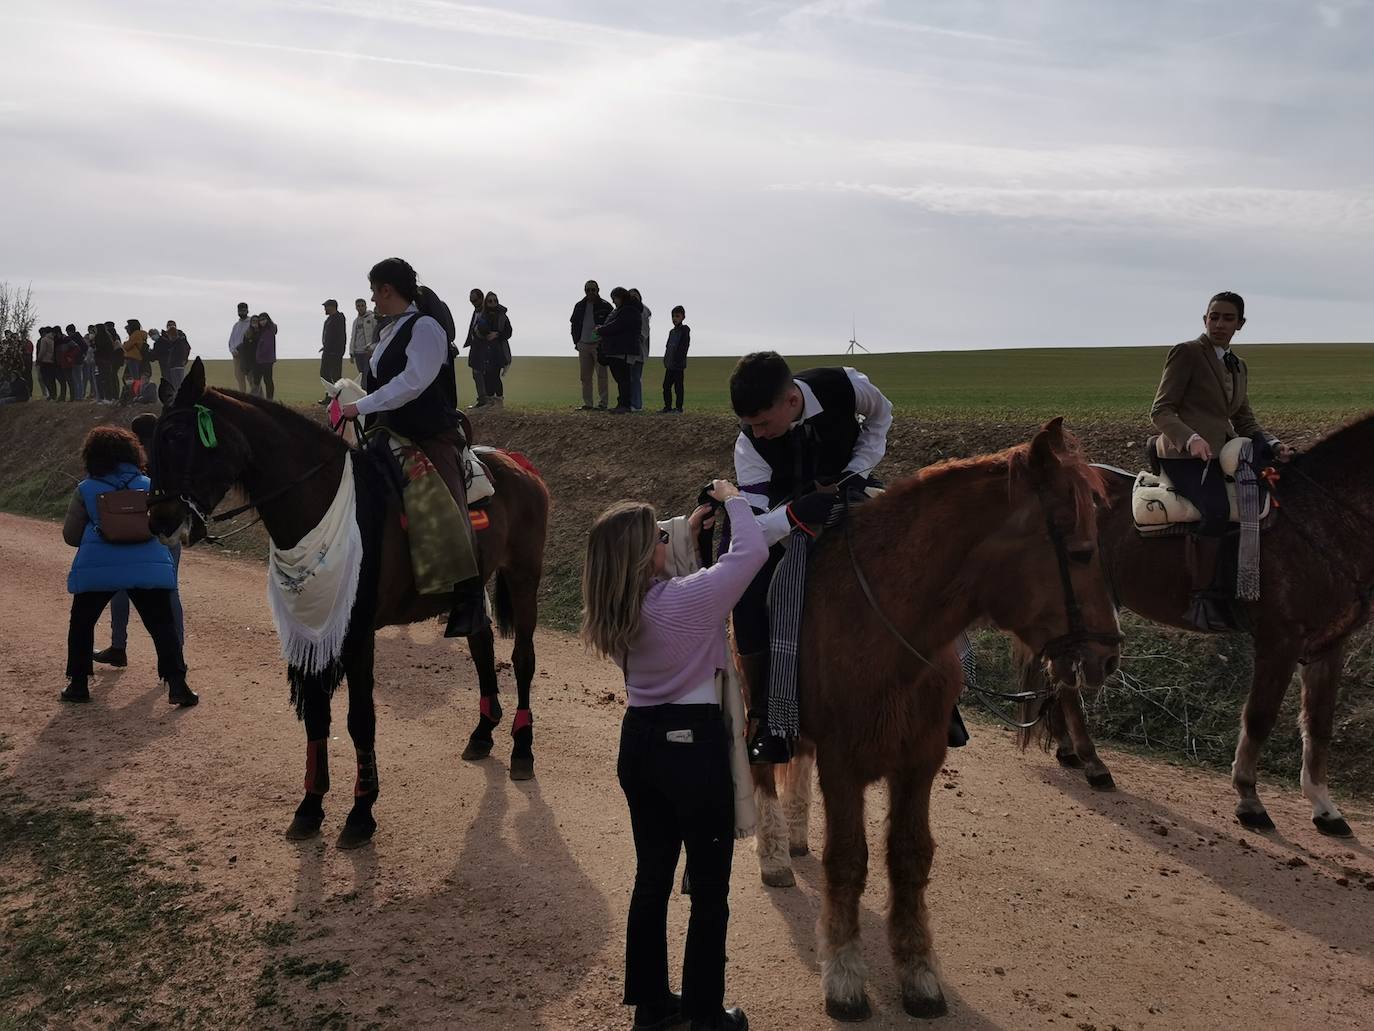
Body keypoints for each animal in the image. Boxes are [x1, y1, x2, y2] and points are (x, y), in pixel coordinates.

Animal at [142, 360, 544, 852]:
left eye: (177, 436)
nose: (159, 521)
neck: (319, 499)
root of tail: (518, 465)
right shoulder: (311, 629)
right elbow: (317, 716)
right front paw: (310, 806)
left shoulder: (356, 633)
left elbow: (359, 719)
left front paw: (361, 812)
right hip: (474, 589)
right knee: (482, 646)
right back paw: (484, 732)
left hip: (524, 577)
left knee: (522, 659)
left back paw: (522, 748)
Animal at [747, 415, 1121, 1022]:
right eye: (1082, 551)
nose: (1108, 656)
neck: (887, 627)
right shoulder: (844, 766)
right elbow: (847, 861)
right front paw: (844, 975)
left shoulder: (919, 763)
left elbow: (910, 857)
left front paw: (919, 972)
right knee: (762, 770)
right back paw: (776, 854)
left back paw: (797, 835)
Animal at [1011, 412, 1374, 841]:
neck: (1320, 517)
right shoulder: (1279, 641)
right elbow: (1259, 717)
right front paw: (1249, 799)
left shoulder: (1329, 646)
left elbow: (1319, 725)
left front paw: (1324, 808)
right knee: (1068, 684)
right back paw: (1093, 762)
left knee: (1063, 674)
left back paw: (1070, 750)